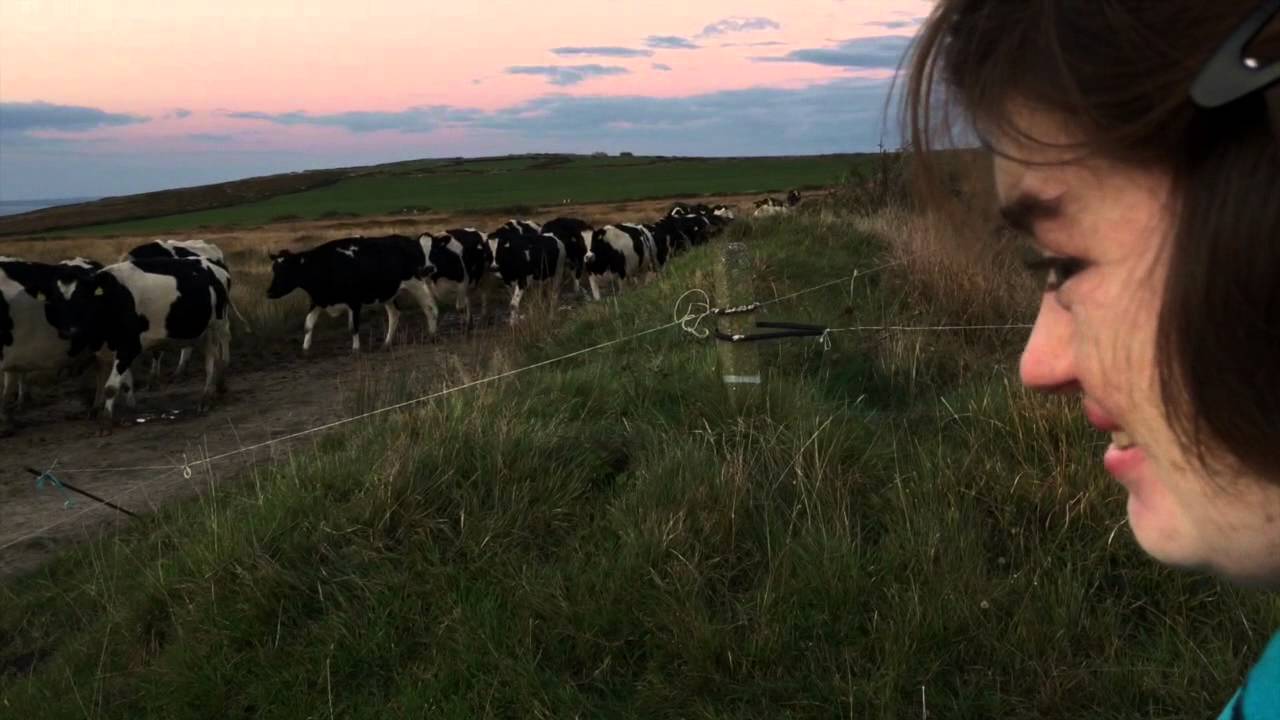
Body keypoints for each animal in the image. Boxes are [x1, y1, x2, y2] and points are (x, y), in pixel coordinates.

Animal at [52, 257, 232, 432]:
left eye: (83, 298)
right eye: (56, 301)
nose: (68, 331)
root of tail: (213, 264)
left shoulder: (129, 347)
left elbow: (110, 387)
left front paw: (106, 422)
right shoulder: (102, 351)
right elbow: (103, 381)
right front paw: (96, 409)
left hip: (218, 322)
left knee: (218, 354)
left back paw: (208, 396)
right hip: (202, 331)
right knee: (212, 356)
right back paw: (213, 390)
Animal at [267, 235, 438, 353]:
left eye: (286, 270)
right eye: (274, 269)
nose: (269, 292)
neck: (324, 265)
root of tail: (409, 241)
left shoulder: (354, 301)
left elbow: (353, 327)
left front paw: (356, 349)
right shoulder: (317, 300)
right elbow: (308, 325)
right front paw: (305, 349)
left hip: (416, 283)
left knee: (429, 307)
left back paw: (432, 334)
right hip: (388, 293)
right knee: (394, 314)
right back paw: (386, 343)